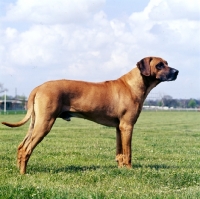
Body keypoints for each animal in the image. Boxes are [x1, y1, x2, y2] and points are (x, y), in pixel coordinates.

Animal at [2, 56, 179, 173]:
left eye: (167, 63)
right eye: (159, 65)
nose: (177, 71)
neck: (132, 85)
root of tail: (38, 87)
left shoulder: (119, 128)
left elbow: (119, 152)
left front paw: (121, 169)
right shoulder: (127, 126)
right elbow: (128, 152)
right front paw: (129, 169)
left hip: (36, 122)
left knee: (21, 146)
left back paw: (19, 170)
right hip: (45, 123)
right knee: (26, 149)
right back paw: (24, 173)